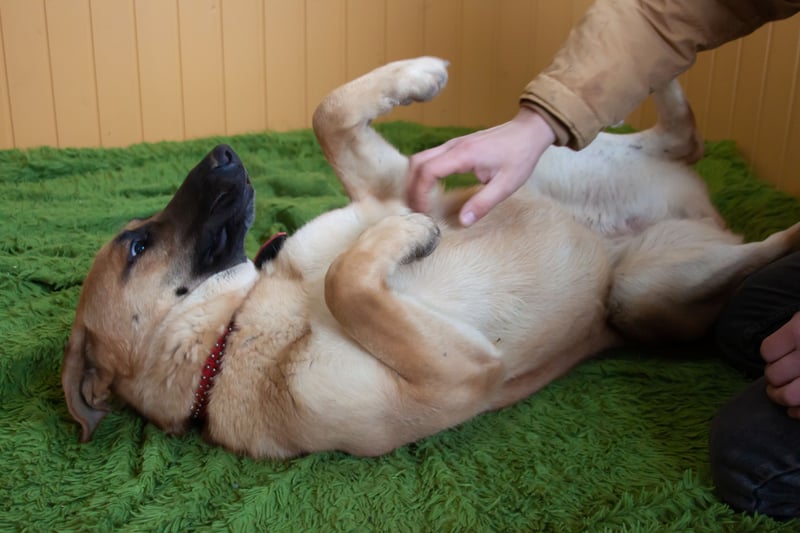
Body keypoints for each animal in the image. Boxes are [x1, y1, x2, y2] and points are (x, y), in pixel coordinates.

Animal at [62, 57, 800, 459]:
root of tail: (704, 214)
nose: (223, 153)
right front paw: (409, 238)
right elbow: (347, 278)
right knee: (733, 204)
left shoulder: (391, 185)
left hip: (556, 161)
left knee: (678, 133)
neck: (241, 330)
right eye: (138, 245)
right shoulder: (458, 375)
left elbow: (329, 113)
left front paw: (414, 78)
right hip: (639, 290)